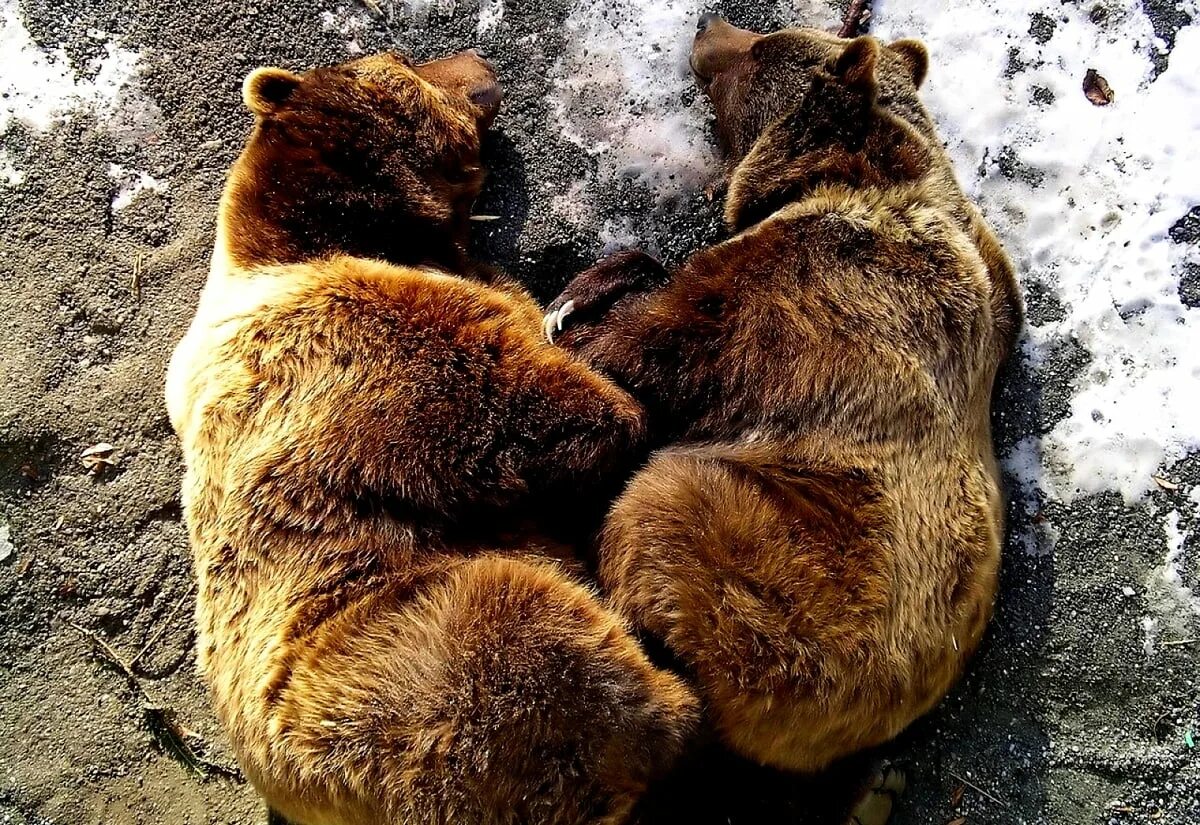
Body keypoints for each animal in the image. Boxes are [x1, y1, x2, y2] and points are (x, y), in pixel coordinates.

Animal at [164, 50, 700, 825]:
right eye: (402, 59)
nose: (478, 60)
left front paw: (602, 281)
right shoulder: (373, 348)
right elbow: (560, 410)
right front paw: (608, 329)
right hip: (412, 654)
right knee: (529, 638)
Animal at [544, 16, 1022, 781]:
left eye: (758, 48)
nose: (708, 26)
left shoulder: (796, 293)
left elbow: (653, 344)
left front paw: (575, 312)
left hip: (773, 565)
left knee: (659, 516)